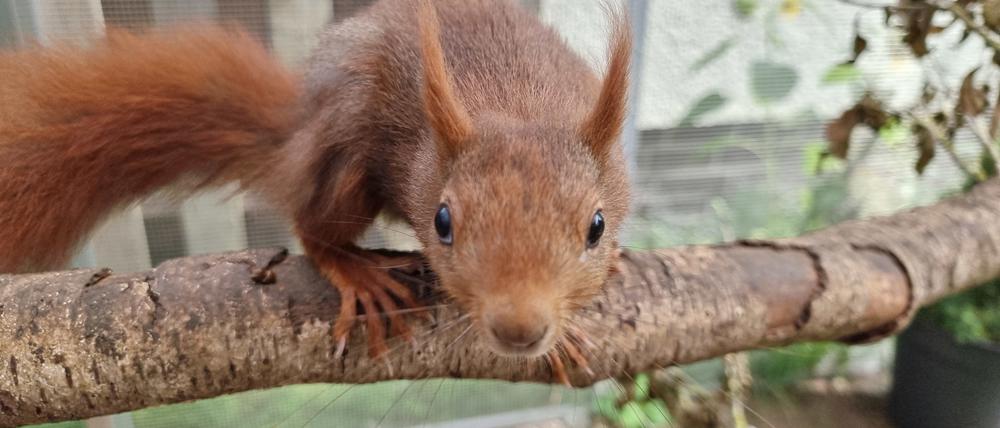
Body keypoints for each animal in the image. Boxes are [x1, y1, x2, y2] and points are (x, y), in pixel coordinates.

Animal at [0, 0, 631, 371]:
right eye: (442, 223)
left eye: (597, 227)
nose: (518, 329)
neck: (519, 109)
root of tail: (302, 134)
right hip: (345, 156)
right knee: (314, 228)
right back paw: (359, 271)